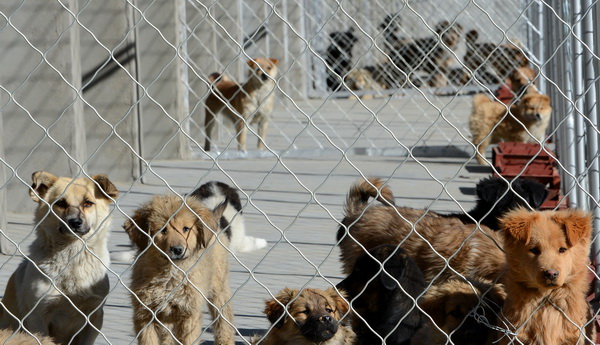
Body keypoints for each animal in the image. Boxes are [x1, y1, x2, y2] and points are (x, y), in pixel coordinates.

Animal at [0, 171, 119, 344]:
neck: (72, 258)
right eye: (61, 203)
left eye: (88, 203)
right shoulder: (38, 317)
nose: (75, 222)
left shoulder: (94, 317)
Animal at [123, 195, 234, 342]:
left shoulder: (189, 315)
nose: (177, 250)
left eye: (186, 228)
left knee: (224, 324)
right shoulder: (144, 314)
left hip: (219, 291)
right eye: (163, 230)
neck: (169, 274)